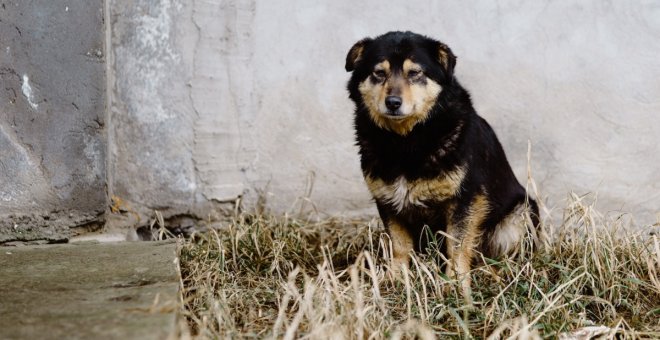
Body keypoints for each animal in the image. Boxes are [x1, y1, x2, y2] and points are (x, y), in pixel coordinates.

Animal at [342, 30, 540, 298]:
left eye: (415, 73)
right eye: (379, 73)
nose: (392, 102)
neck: (405, 141)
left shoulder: (466, 199)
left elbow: (456, 245)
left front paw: (456, 284)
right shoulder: (387, 200)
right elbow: (400, 245)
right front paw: (396, 279)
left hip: (521, 214)